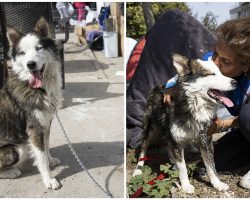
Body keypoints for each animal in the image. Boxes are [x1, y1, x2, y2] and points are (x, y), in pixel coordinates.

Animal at [0, 16, 62, 189]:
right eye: (22, 53)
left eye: (39, 48)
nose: (31, 64)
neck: (39, 88)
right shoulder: (35, 128)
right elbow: (41, 157)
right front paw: (49, 180)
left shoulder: (46, 122)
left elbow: (46, 147)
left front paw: (51, 160)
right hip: (17, 150)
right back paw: (12, 172)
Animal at [133, 54, 236, 194]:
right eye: (210, 74)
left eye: (221, 72)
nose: (235, 82)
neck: (194, 106)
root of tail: (157, 87)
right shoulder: (175, 142)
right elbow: (182, 167)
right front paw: (186, 185)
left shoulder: (206, 139)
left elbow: (211, 165)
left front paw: (217, 183)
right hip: (150, 129)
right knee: (143, 148)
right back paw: (138, 169)